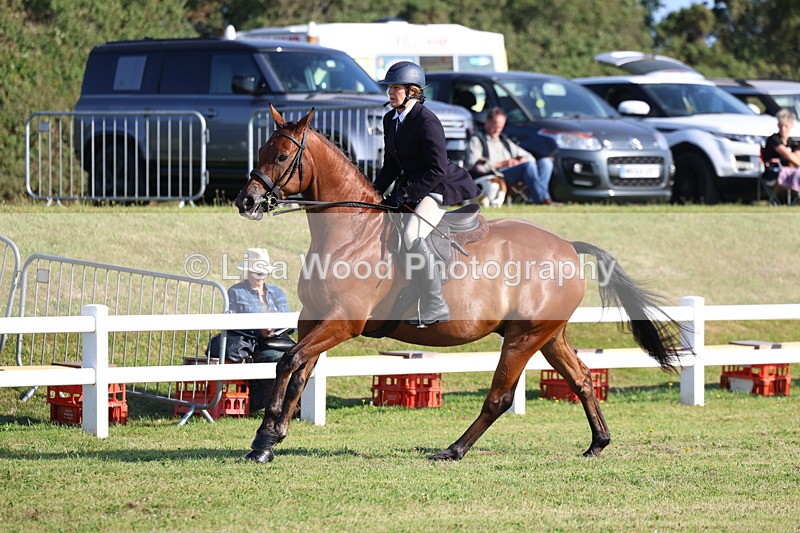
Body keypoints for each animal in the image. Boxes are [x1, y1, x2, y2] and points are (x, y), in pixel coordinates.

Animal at [235, 104, 684, 463]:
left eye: (282, 155)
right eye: (260, 152)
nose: (246, 201)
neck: (350, 232)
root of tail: (568, 247)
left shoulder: (343, 322)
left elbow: (288, 361)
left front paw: (265, 436)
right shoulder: (314, 319)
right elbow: (299, 372)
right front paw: (272, 438)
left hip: (523, 336)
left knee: (500, 397)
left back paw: (453, 450)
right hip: (548, 334)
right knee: (582, 379)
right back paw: (598, 443)